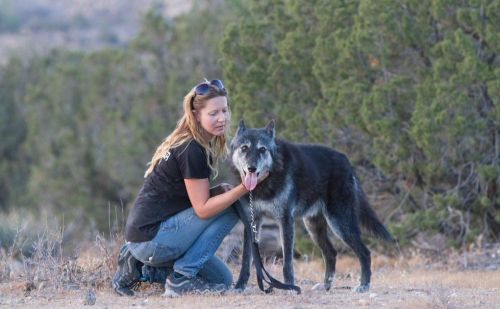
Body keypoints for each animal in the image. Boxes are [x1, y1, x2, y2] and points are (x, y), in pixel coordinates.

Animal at [230, 119, 394, 292]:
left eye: (262, 149)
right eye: (244, 148)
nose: (251, 168)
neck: (266, 182)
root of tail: (346, 160)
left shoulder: (285, 220)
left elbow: (287, 262)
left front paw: (290, 286)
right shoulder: (252, 222)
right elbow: (246, 260)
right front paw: (240, 285)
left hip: (340, 224)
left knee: (365, 253)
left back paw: (363, 285)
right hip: (314, 227)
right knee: (331, 253)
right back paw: (326, 286)